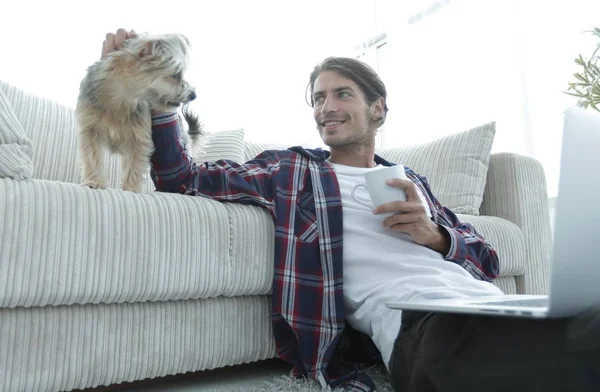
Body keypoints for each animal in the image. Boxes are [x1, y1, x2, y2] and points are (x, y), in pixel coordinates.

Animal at [76, 32, 203, 193]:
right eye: (176, 74)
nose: (193, 95)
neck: (121, 97)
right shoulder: (90, 130)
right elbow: (93, 157)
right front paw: (95, 182)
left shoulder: (140, 139)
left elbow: (134, 166)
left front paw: (129, 189)